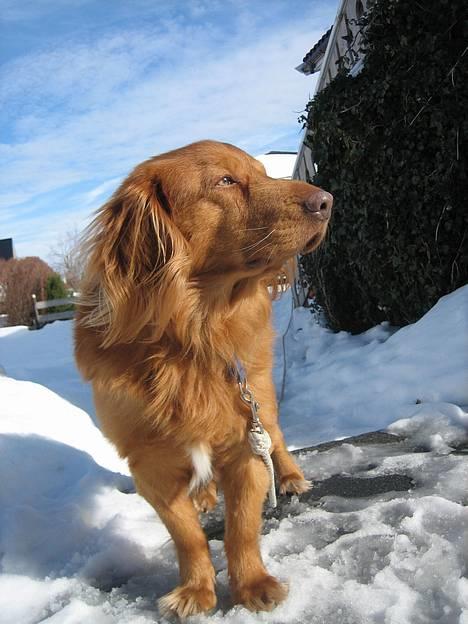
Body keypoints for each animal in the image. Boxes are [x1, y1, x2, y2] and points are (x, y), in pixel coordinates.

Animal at [75, 139, 332, 616]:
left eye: (262, 173)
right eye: (225, 181)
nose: (326, 201)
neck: (192, 336)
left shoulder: (245, 443)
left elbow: (241, 528)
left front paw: (252, 584)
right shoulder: (149, 467)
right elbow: (188, 536)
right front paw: (196, 589)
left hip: (262, 401)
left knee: (278, 436)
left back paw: (289, 477)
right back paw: (205, 493)